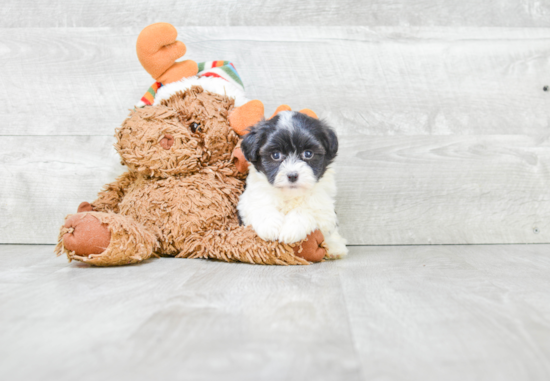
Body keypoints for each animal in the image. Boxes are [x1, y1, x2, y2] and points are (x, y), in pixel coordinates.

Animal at [238, 110, 350, 258]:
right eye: (276, 155)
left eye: (308, 154)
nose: (292, 175)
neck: (290, 195)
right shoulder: (248, 201)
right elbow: (261, 205)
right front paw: (270, 226)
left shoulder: (324, 209)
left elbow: (307, 209)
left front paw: (290, 230)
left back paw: (334, 247)